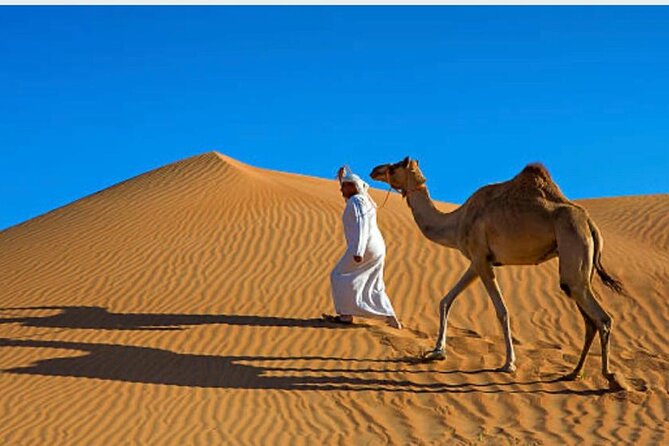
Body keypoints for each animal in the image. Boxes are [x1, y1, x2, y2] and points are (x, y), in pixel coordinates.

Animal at [370, 157, 626, 390]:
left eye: (395, 166)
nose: (375, 169)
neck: (456, 221)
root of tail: (590, 223)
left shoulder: (481, 259)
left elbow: (501, 311)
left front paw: (508, 363)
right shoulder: (477, 261)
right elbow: (445, 300)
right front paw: (437, 351)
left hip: (573, 246)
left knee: (602, 318)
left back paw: (611, 378)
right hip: (581, 267)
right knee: (589, 320)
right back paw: (574, 372)